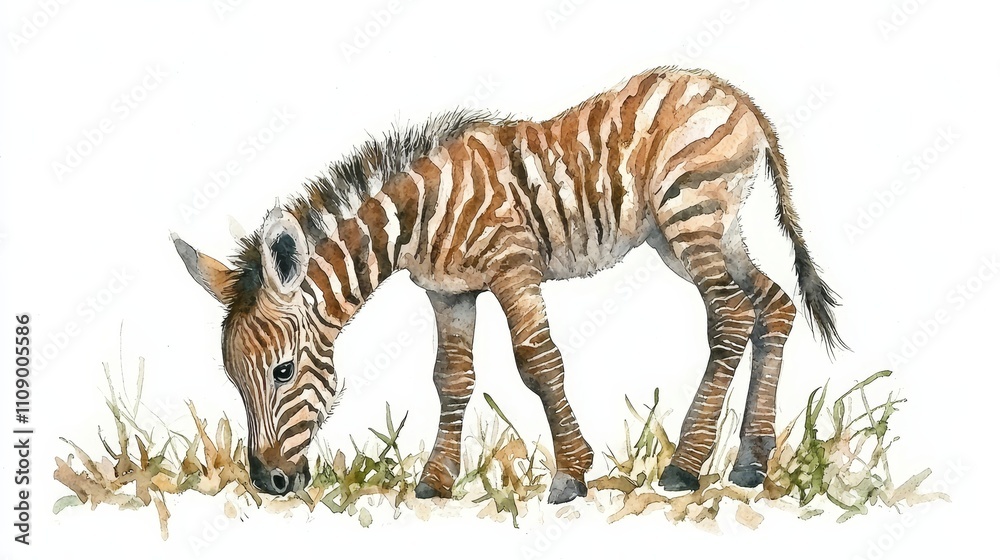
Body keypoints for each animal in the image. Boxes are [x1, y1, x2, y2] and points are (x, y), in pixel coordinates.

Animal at [172, 66, 846, 504]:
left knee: (732, 317)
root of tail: (737, 96)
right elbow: (452, 380)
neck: (417, 215)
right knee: (774, 306)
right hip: (702, 230)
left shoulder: (513, 267)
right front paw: (436, 481)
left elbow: (538, 364)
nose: (269, 483)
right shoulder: (449, 293)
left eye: (282, 371)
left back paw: (685, 466)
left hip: (692, 217)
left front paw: (571, 474)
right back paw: (751, 460)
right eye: (232, 378)